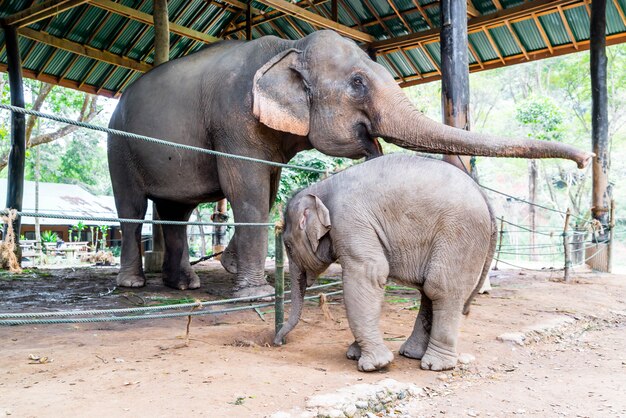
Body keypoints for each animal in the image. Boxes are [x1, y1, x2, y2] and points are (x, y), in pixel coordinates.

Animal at [107, 29, 588, 298]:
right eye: (357, 82)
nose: (587, 159)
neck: (289, 46)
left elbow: (266, 188)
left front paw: (233, 271)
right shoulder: (233, 118)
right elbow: (247, 190)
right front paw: (255, 293)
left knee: (175, 212)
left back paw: (184, 285)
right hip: (119, 144)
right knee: (132, 208)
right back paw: (133, 285)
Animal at [272, 153, 492, 372]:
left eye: (288, 246)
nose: (277, 342)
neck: (321, 188)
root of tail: (483, 194)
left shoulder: (349, 221)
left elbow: (368, 273)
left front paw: (374, 365)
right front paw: (354, 354)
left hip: (460, 235)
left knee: (440, 288)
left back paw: (435, 365)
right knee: (427, 291)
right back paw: (411, 354)